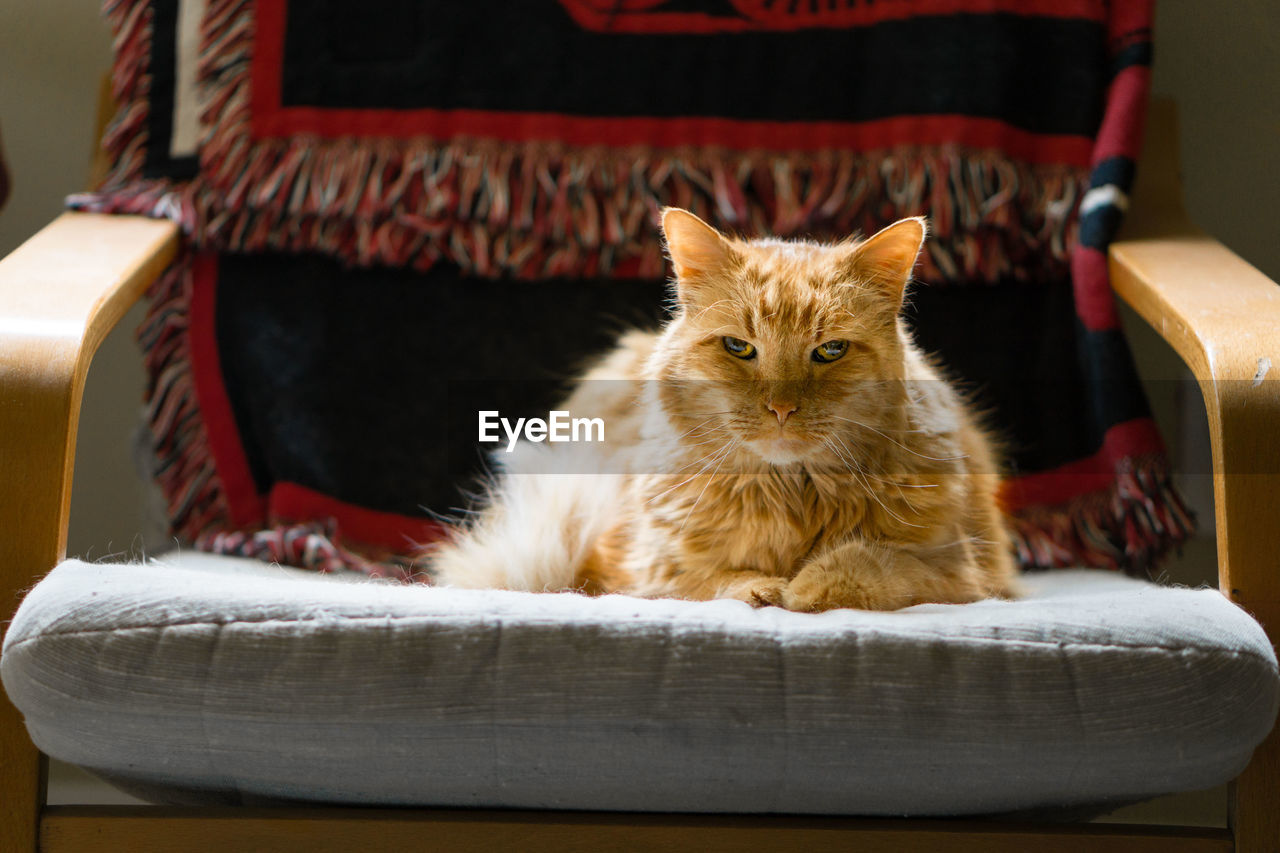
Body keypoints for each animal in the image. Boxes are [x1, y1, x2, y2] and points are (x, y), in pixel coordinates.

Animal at [430, 208, 1018, 607]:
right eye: (739, 347)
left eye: (831, 351)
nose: (781, 409)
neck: (791, 495)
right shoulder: (639, 571)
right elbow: (716, 581)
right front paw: (766, 587)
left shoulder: (964, 573)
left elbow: (871, 562)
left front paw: (806, 587)